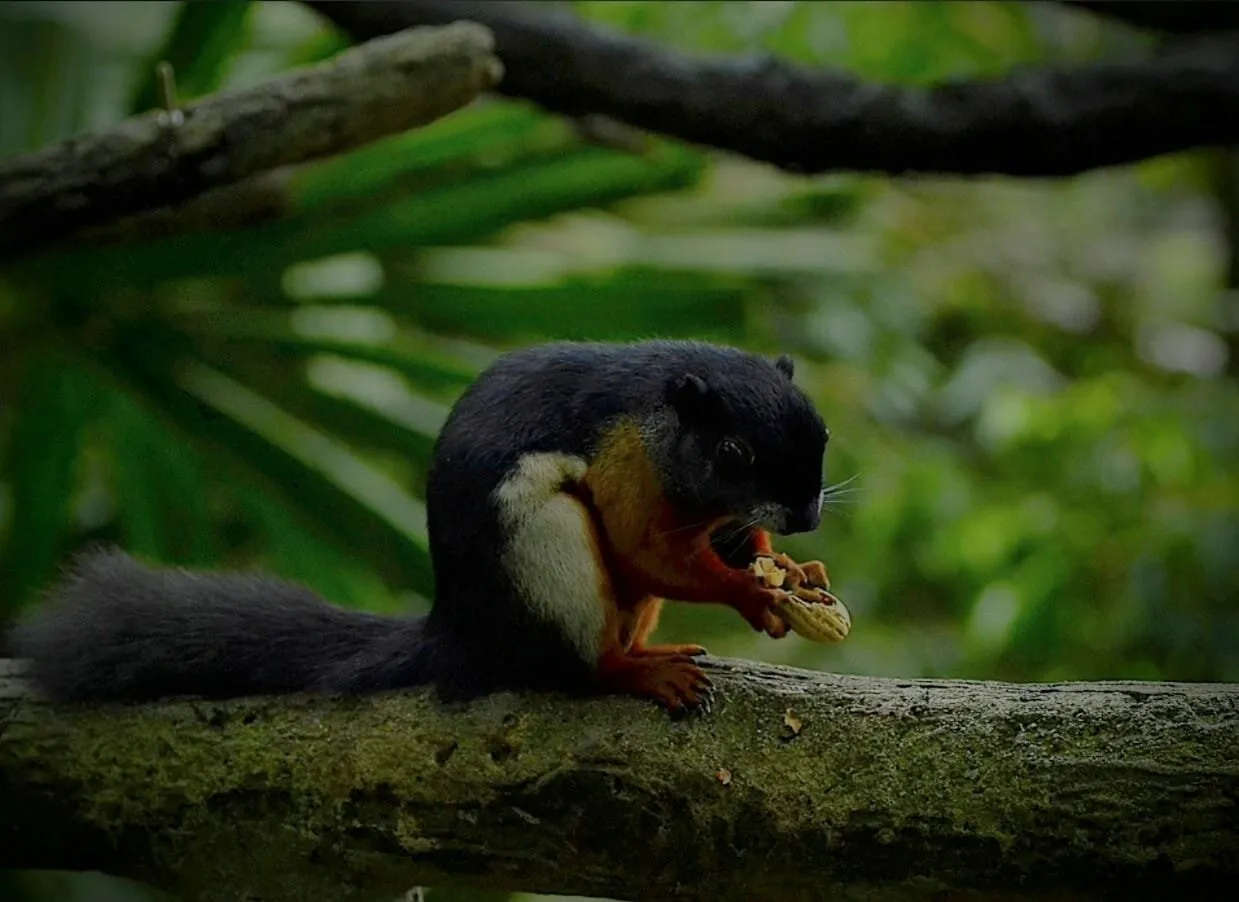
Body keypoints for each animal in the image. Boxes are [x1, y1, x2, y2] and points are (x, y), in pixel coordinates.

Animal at [9, 340, 831, 714]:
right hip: (546, 553)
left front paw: (788, 571)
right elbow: (646, 547)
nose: (806, 517)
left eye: (821, 433)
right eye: (732, 454)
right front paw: (753, 594)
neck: (660, 418)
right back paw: (636, 671)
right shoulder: (627, 466)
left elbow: (717, 542)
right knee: (577, 665)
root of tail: (459, 633)